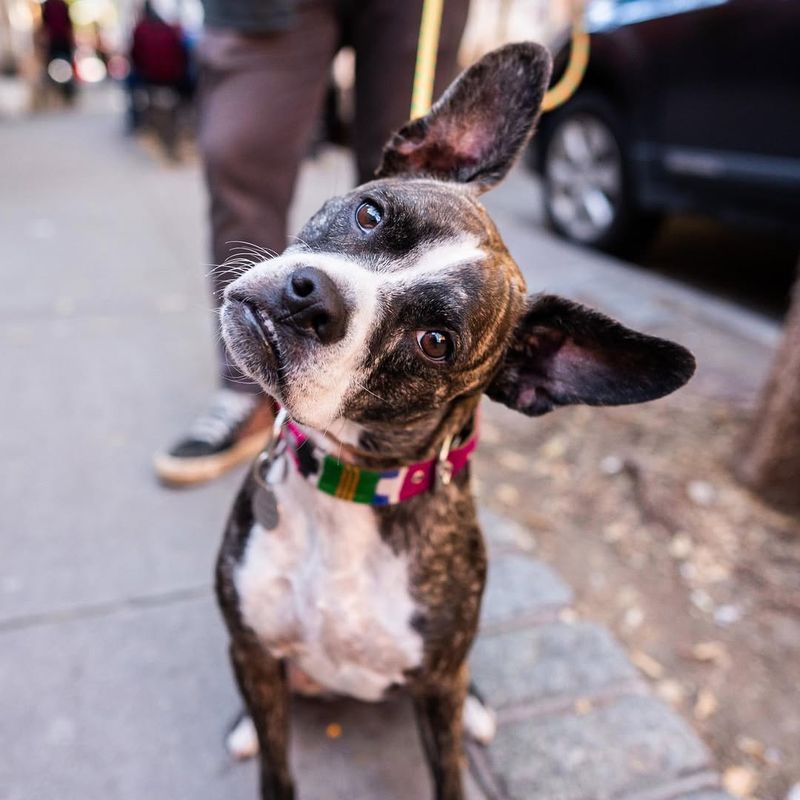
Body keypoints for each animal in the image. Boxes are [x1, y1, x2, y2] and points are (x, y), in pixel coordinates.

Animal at [216, 43, 696, 800]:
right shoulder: (253, 649)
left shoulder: (437, 684)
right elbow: (276, 765)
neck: (350, 486)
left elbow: (448, 773)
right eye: (370, 214)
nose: (311, 298)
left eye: (435, 342)